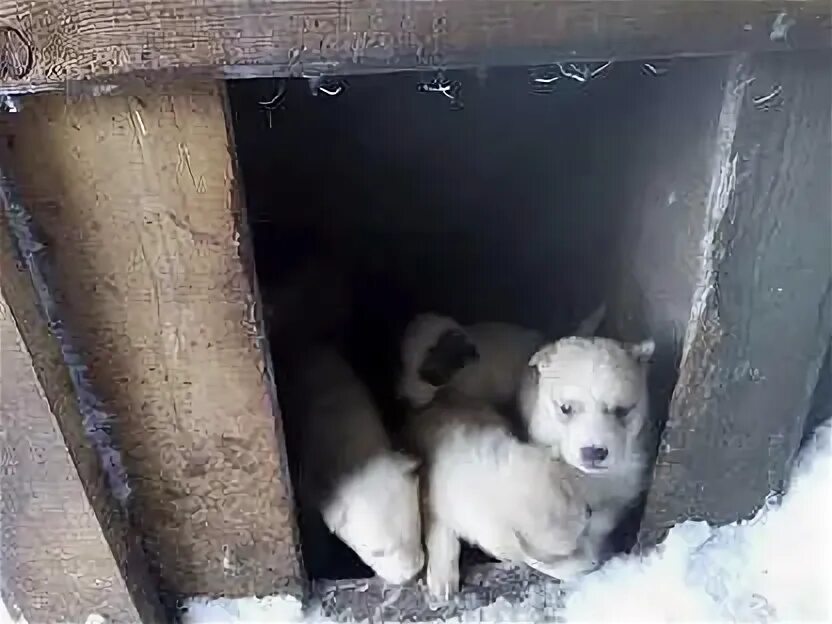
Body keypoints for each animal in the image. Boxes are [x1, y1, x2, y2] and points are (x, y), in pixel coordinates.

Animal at [404, 390, 596, 600]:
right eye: (563, 557)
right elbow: (442, 537)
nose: (597, 564)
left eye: (588, 519)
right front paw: (442, 583)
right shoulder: (432, 498)